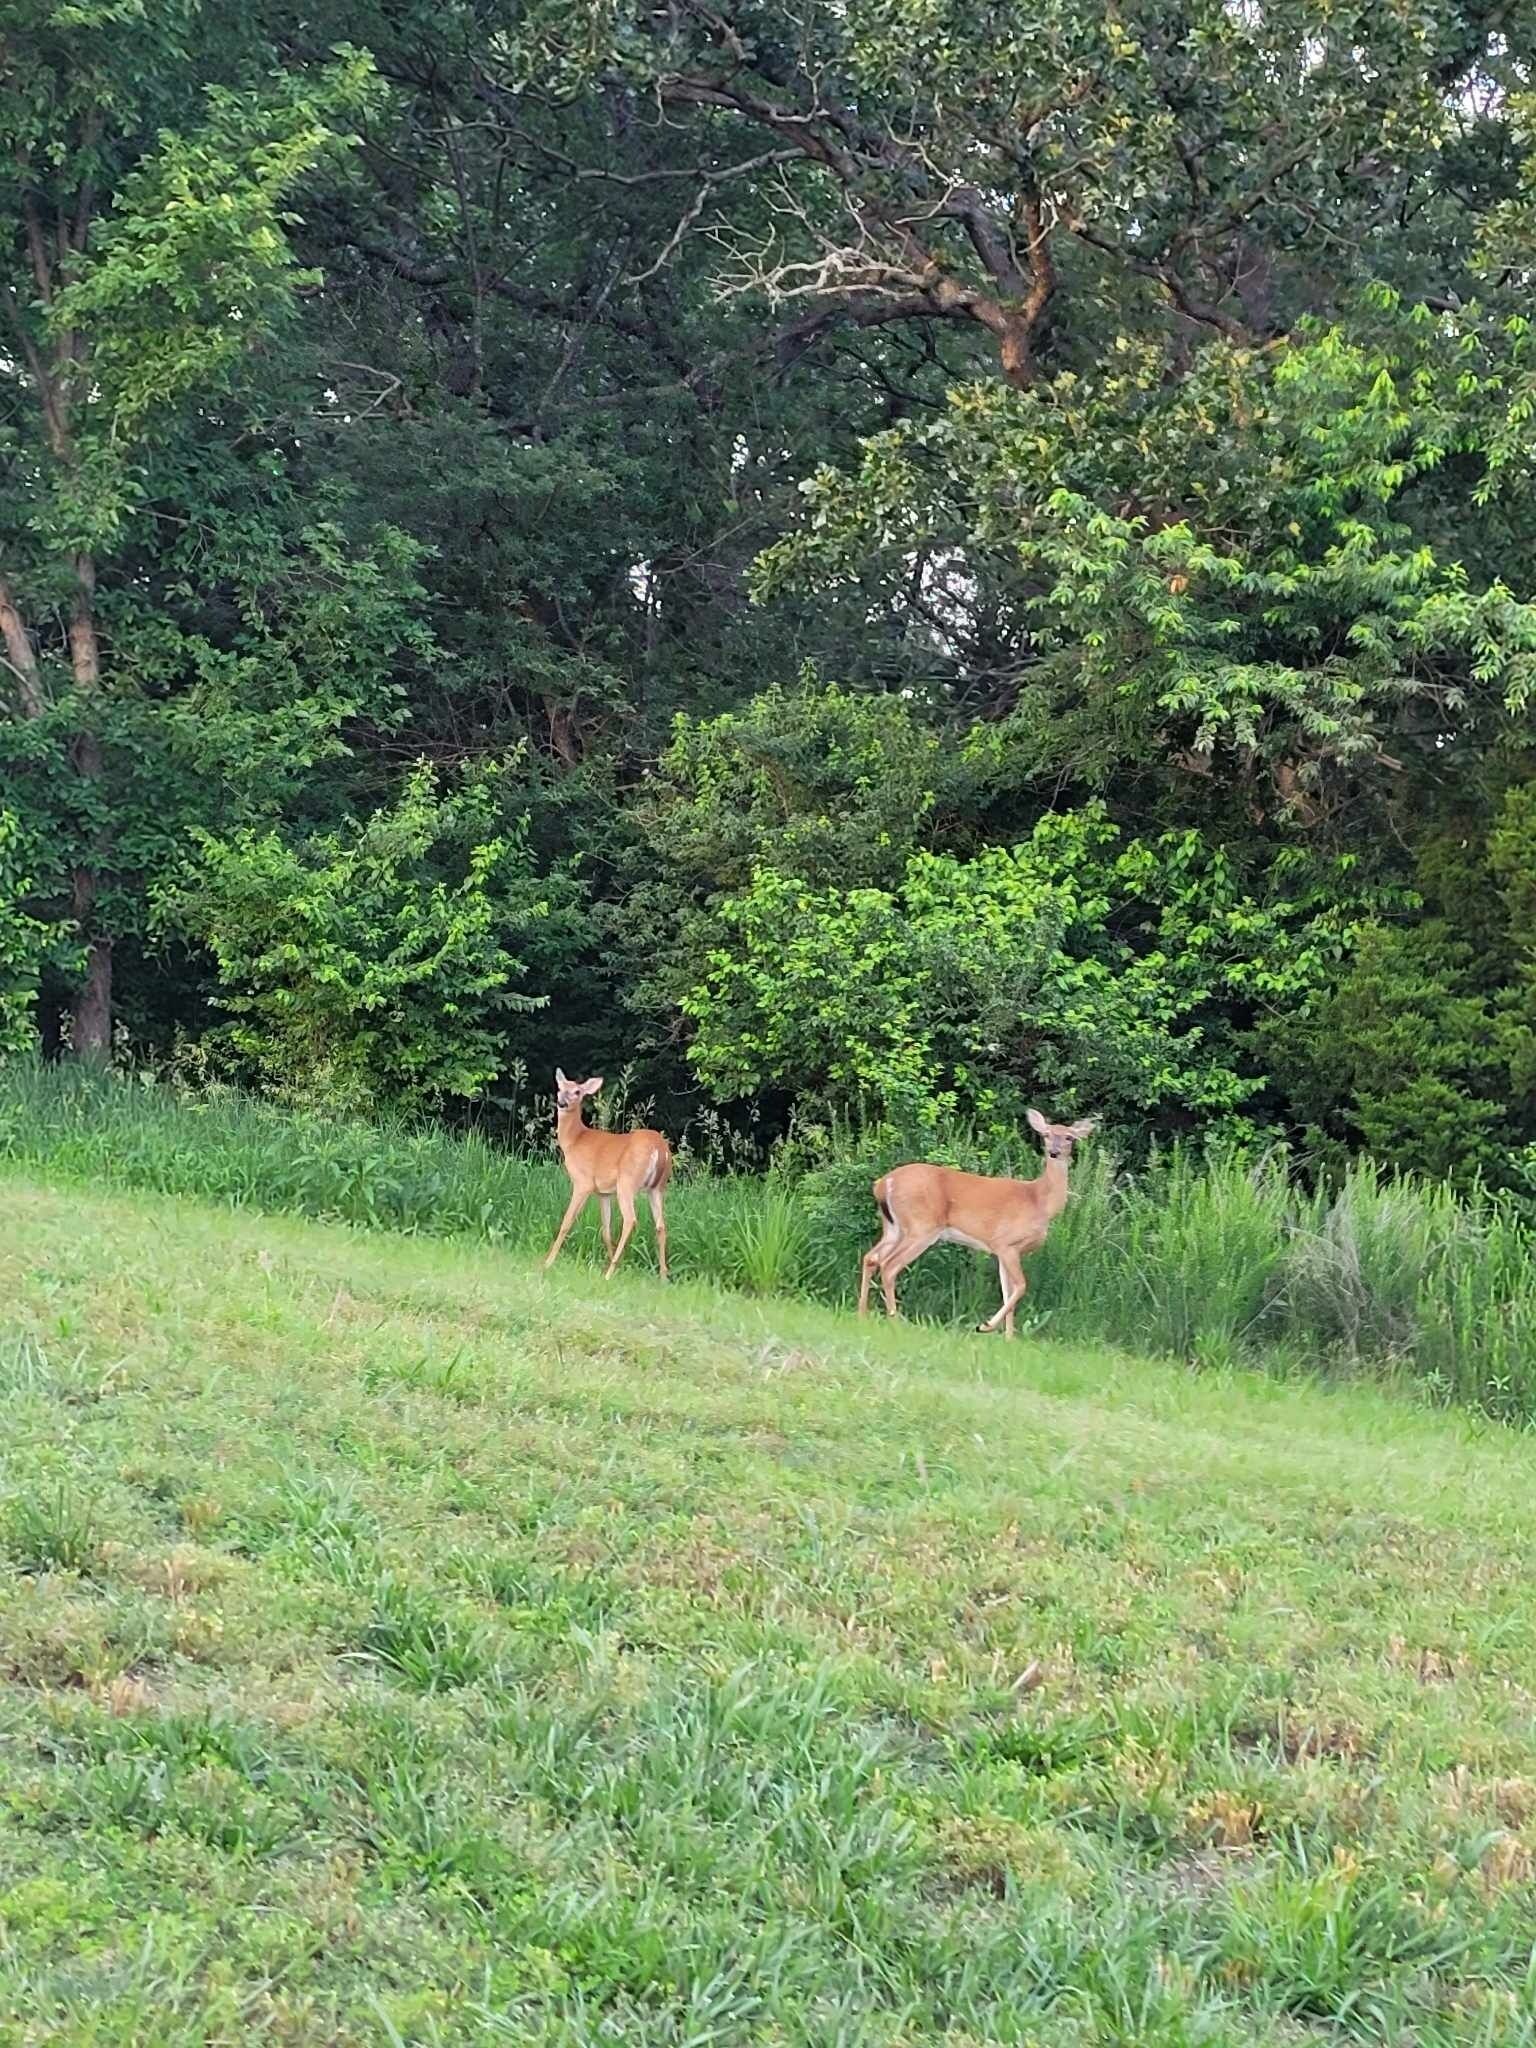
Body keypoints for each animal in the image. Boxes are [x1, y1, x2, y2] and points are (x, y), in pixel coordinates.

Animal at [543, 1069, 672, 1281]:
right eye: (560, 1088)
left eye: (577, 1091)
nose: (562, 1102)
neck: (574, 1141)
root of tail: (660, 1149)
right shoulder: (603, 1192)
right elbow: (606, 1229)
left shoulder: (583, 1182)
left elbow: (567, 1221)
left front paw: (548, 1262)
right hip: (657, 1187)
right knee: (661, 1225)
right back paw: (662, 1276)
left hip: (627, 1182)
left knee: (630, 1219)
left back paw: (609, 1273)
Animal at [857, 1109, 1098, 1338]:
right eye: (1046, 1134)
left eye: (1069, 1137)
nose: (1053, 1152)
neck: (1039, 1201)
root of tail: (884, 1183)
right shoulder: (1006, 1243)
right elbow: (1021, 1286)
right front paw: (986, 1326)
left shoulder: (1003, 1251)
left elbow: (1007, 1292)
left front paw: (1008, 1338)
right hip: (921, 1226)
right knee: (889, 1265)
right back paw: (894, 1320)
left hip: (894, 1227)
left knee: (871, 1257)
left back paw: (863, 1313)